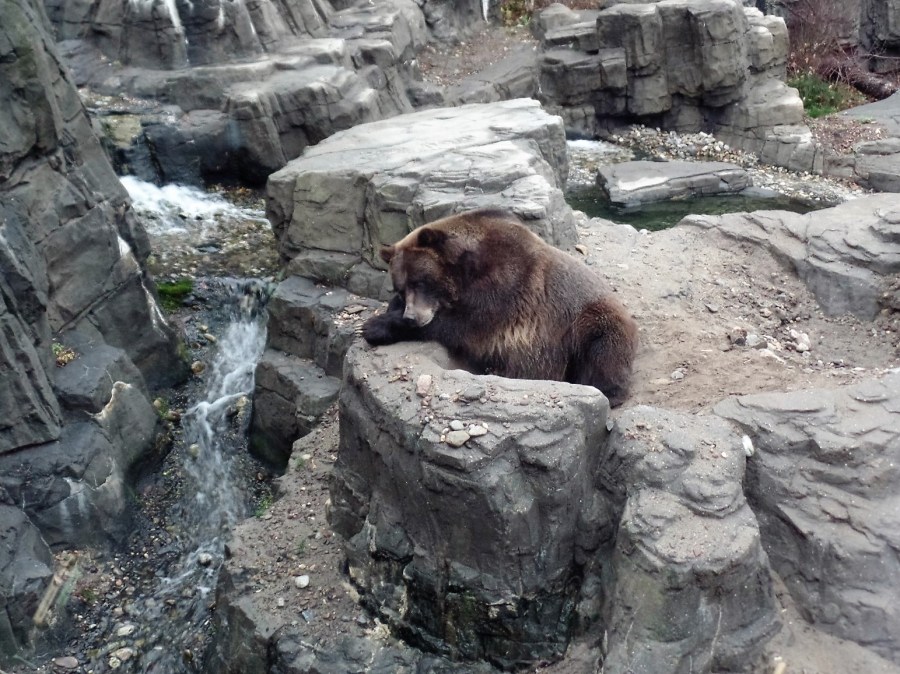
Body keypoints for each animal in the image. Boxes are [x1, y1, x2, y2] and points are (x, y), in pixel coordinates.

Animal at [362, 208, 639, 407]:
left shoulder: (506, 289)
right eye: (400, 288)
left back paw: (605, 390)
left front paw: (375, 326)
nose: (412, 317)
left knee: (604, 345)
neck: (466, 269)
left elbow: (463, 325)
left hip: (586, 321)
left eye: (420, 282)